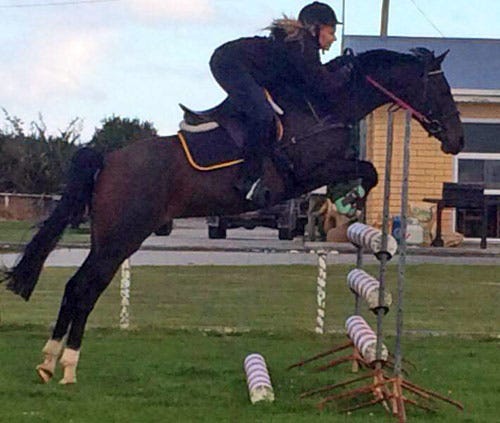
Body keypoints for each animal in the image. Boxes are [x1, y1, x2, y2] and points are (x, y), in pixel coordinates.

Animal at [0, 48, 464, 386]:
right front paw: (348, 200)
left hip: (107, 237)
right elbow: (367, 170)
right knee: (84, 288)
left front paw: (347, 201)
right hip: (121, 238)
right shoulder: (307, 172)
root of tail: (109, 159)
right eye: (441, 90)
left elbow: (365, 169)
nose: (458, 140)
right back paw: (67, 365)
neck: (323, 105)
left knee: (76, 287)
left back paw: (49, 361)